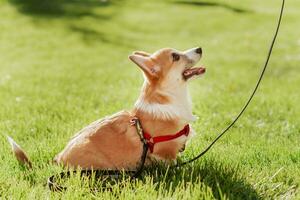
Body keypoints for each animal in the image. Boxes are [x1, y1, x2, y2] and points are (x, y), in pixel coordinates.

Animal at [7, 47, 205, 170]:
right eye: (175, 56)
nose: (200, 48)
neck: (171, 97)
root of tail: (57, 160)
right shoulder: (164, 154)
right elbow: (171, 164)